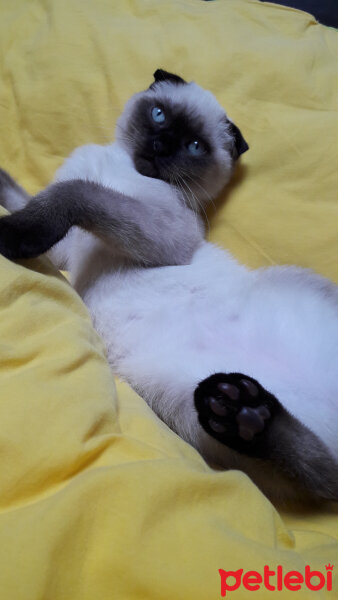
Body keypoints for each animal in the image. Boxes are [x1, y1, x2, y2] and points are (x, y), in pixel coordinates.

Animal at [0, 68, 338, 504]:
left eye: (194, 146)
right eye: (159, 115)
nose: (160, 146)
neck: (123, 167)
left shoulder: (164, 234)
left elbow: (77, 192)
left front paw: (11, 235)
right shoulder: (62, 251)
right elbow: (27, 196)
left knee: (326, 478)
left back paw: (247, 411)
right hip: (188, 403)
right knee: (321, 467)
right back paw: (245, 411)